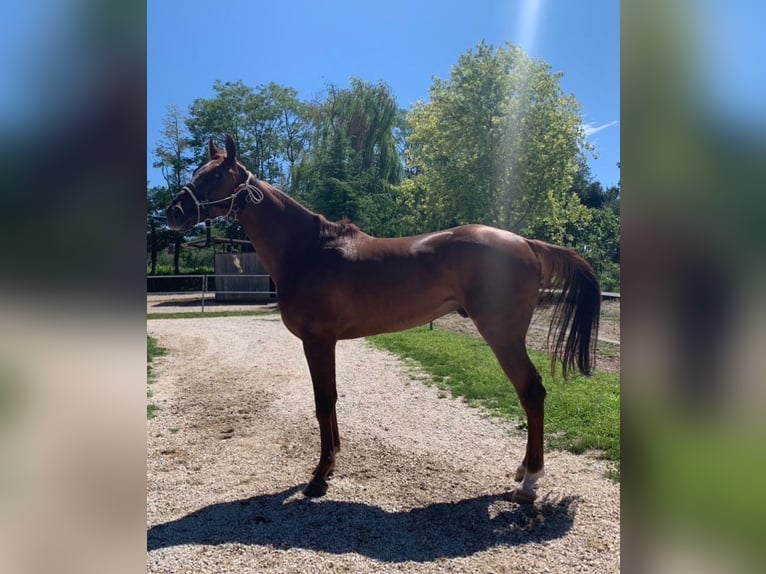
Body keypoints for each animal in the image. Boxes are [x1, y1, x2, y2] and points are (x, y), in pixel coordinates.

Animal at [165, 136, 604, 504]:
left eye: (215, 175)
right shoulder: (325, 343)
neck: (308, 250)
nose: (174, 211)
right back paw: (522, 471)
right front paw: (332, 463)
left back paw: (529, 480)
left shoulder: (317, 341)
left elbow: (323, 402)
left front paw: (320, 475)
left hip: (503, 334)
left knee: (531, 392)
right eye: (197, 172)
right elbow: (331, 400)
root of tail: (525, 242)